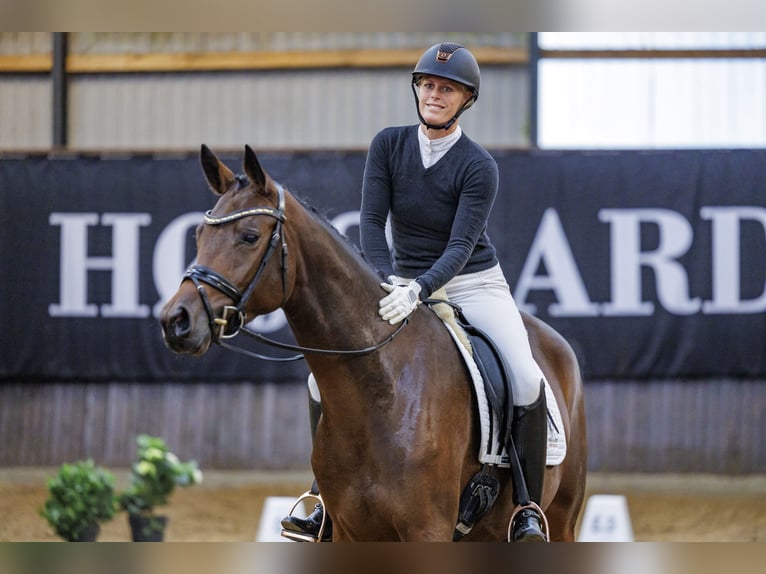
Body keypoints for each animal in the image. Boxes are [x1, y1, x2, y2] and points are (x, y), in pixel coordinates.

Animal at [160, 146, 588, 544]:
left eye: (249, 237)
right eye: (198, 235)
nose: (176, 321)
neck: (381, 386)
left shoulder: (427, 530)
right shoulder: (350, 531)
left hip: (562, 518)